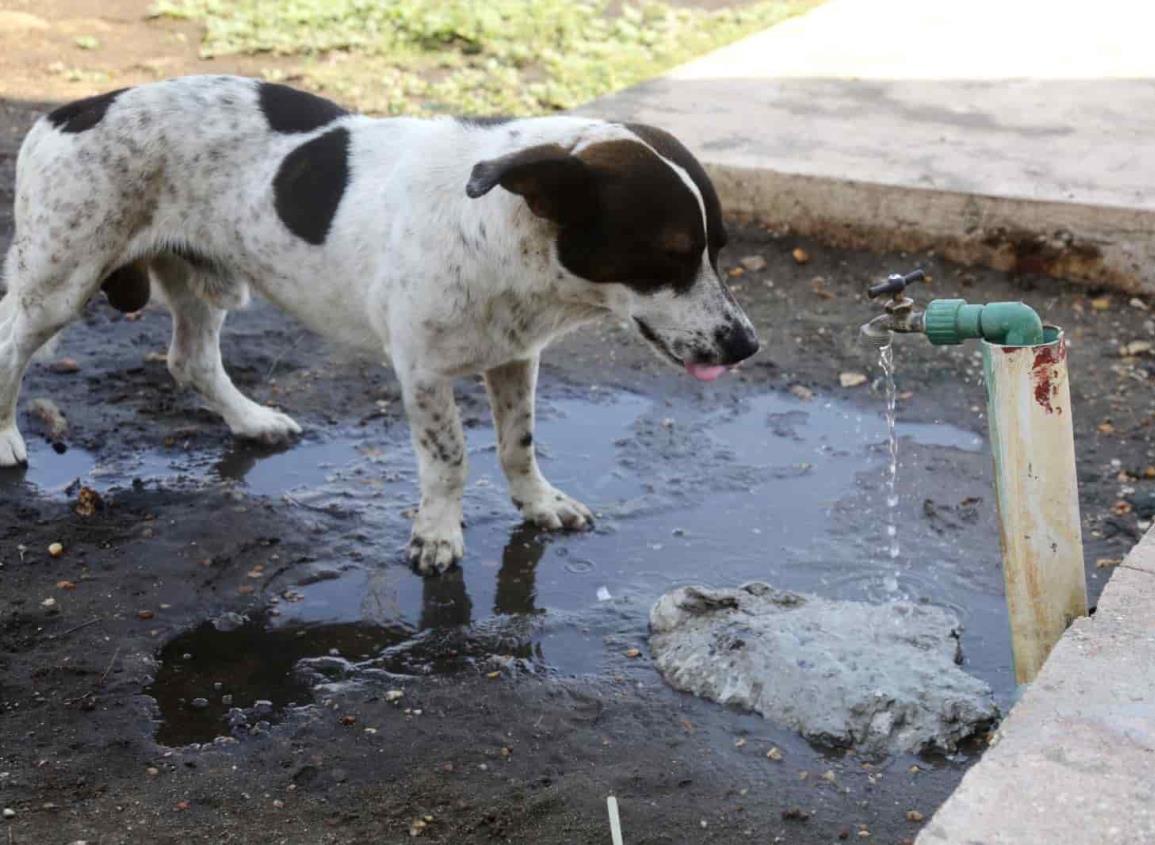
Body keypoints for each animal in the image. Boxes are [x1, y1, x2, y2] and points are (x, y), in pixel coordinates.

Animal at [4, 76, 762, 574]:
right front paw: (437, 534)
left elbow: (517, 444)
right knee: (12, 344)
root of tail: (68, 109)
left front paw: (537, 504)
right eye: (667, 253)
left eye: (719, 248)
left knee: (190, 359)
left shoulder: (516, 357)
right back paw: (9, 438)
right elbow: (449, 460)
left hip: (203, 279)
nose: (747, 345)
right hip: (58, 282)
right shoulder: (422, 372)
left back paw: (252, 421)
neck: (498, 234)